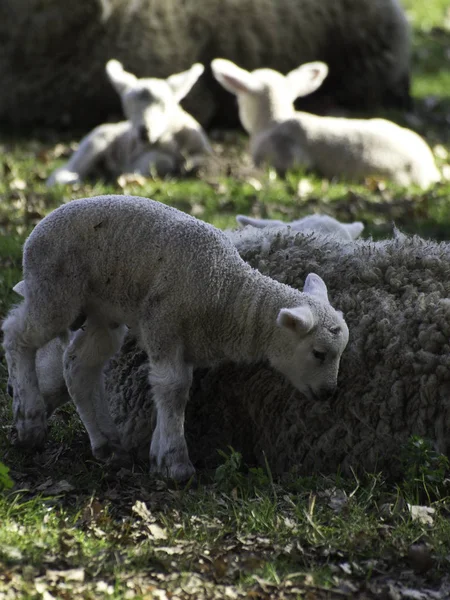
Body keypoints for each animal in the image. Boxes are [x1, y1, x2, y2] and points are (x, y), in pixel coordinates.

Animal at [46, 61, 210, 185]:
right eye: (128, 108)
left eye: (164, 105)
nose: (144, 131)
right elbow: (161, 160)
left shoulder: (203, 152)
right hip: (95, 142)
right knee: (67, 170)